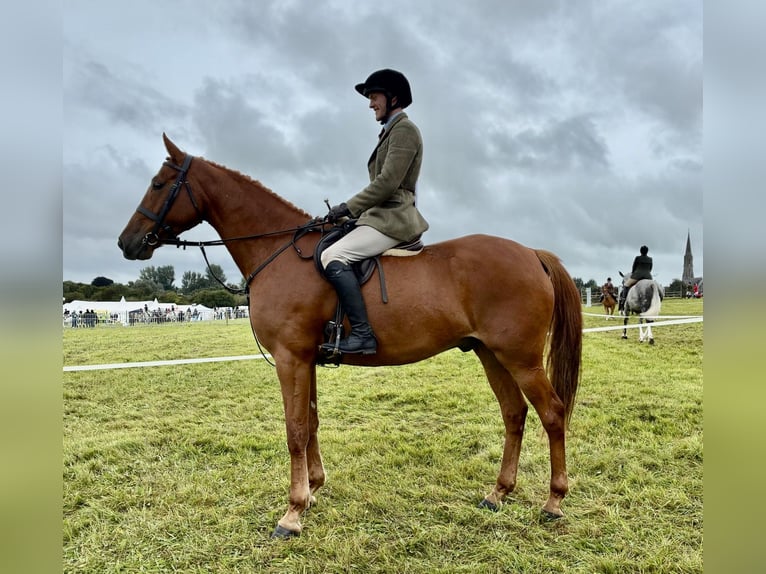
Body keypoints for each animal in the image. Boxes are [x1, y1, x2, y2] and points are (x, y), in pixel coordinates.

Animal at [117, 134, 583, 539]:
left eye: (158, 184)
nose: (126, 242)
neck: (279, 252)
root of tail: (531, 254)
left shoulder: (290, 358)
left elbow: (294, 430)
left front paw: (292, 513)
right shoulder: (305, 359)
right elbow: (311, 422)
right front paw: (313, 490)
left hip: (520, 358)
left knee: (552, 413)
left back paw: (554, 502)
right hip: (491, 354)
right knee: (514, 414)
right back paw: (498, 493)